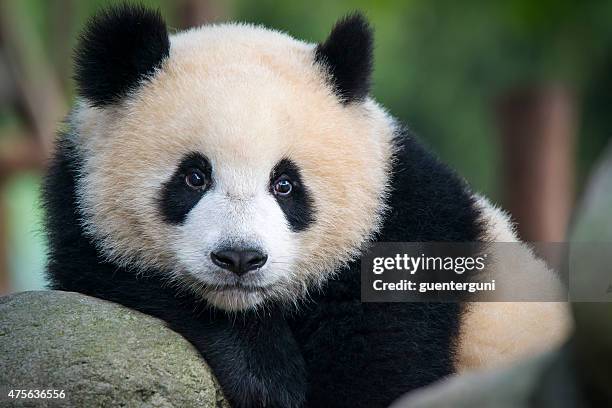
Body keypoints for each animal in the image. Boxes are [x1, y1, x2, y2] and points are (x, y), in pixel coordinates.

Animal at [43, 5, 568, 408]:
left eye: (285, 185)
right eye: (194, 177)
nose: (240, 259)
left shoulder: (407, 243)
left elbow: (374, 379)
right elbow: (107, 269)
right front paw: (266, 372)